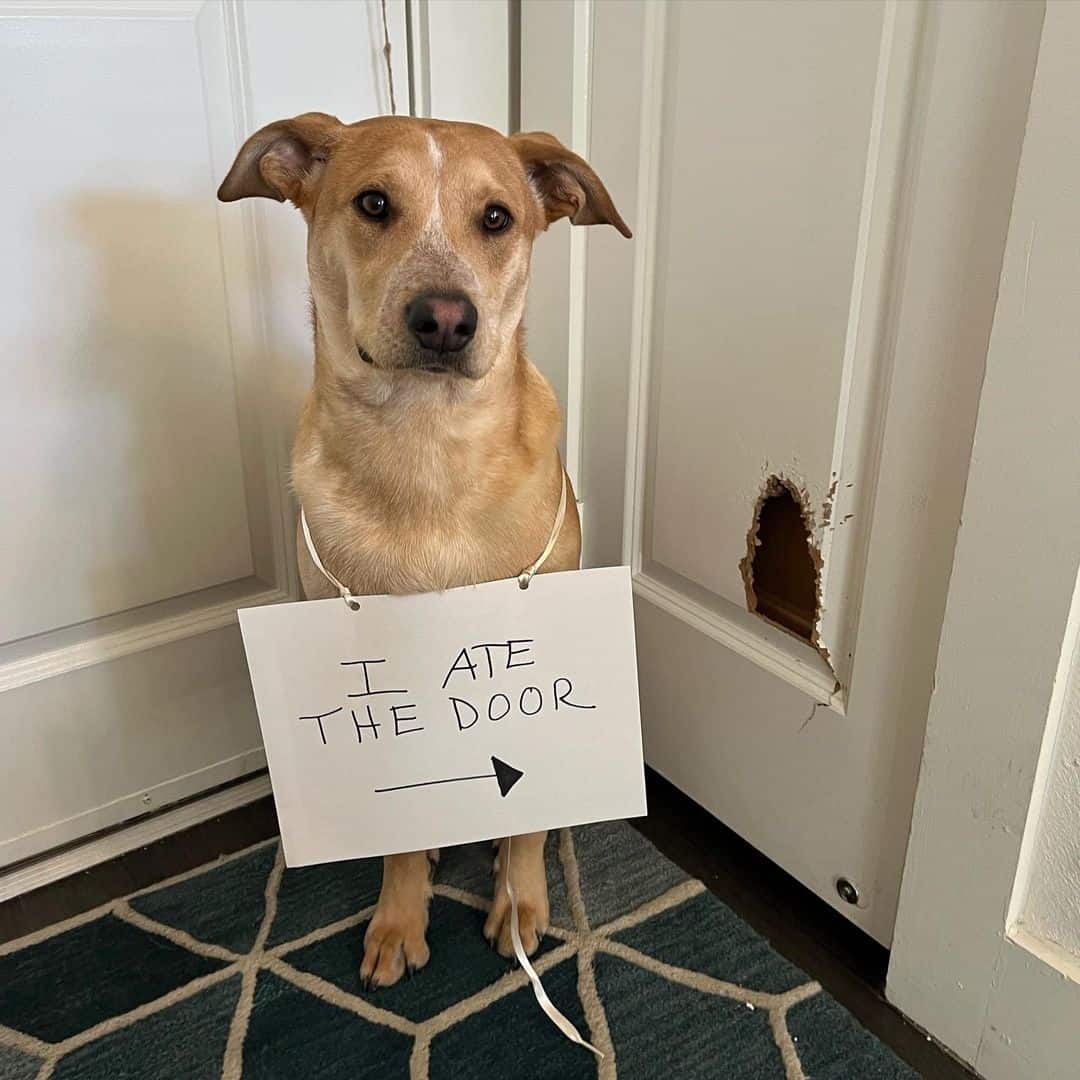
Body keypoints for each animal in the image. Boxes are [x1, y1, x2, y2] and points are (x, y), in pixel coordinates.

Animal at [216, 116, 630, 989]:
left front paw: (519, 900)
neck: (427, 448)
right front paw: (400, 917)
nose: (445, 318)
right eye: (375, 203)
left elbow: (525, 825)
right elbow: (401, 833)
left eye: (498, 218)